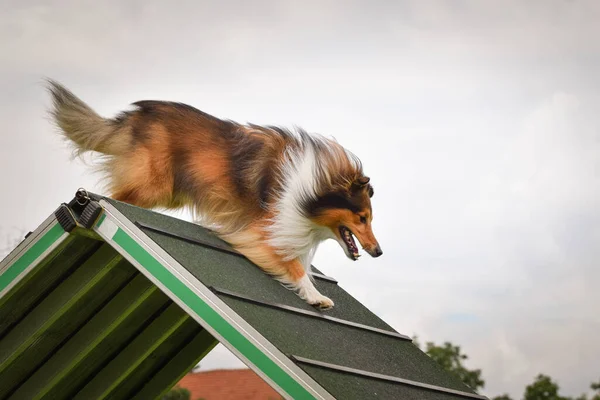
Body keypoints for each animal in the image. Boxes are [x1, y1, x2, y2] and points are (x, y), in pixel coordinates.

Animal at [47, 79, 384, 310]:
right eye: (362, 218)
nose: (379, 252)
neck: (313, 186)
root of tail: (137, 114)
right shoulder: (262, 231)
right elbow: (295, 266)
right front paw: (317, 297)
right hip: (153, 185)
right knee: (113, 194)